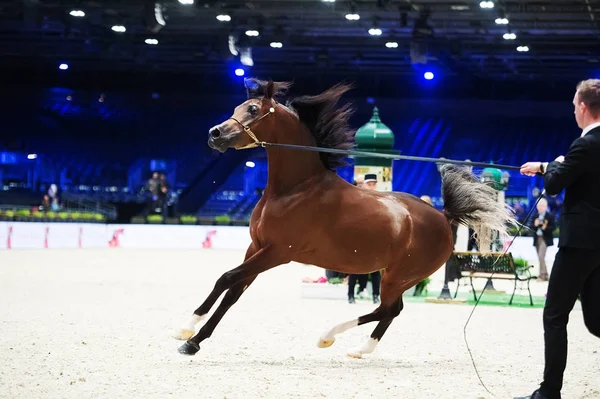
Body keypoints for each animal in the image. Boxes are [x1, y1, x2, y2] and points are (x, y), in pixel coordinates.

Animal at [173, 78, 516, 360]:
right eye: (237, 107)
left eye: (254, 109)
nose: (214, 134)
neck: (296, 189)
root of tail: (444, 217)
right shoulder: (256, 248)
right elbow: (232, 292)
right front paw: (193, 340)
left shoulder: (278, 253)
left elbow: (226, 278)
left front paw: (186, 329)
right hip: (395, 275)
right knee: (390, 310)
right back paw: (359, 349)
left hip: (400, 275)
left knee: (389, 308)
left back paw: (330, 337)